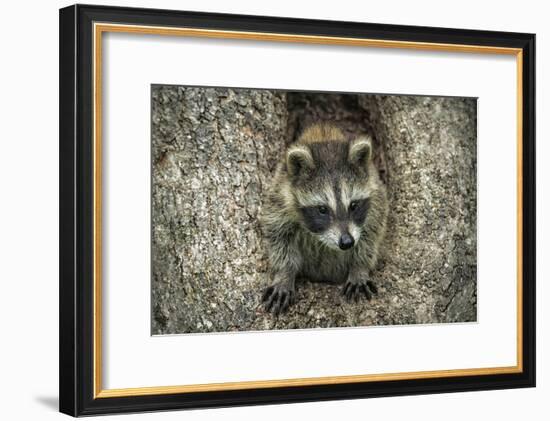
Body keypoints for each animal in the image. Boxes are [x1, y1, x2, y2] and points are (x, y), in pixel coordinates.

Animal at [260, 123, 390, 314]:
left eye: (353, 205)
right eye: (322, 209)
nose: (347, 242)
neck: (324, 137)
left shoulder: (376, 197)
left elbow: (370, 236)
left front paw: (359, 267)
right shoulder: (280, 197)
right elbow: (279, 238)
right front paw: (284, 274)